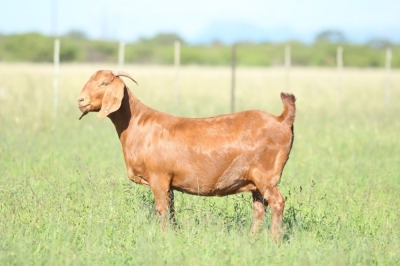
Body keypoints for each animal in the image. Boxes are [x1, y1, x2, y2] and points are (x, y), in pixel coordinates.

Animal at [78, 70, 296, 239]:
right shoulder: (169, 183)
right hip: (255, 181)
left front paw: (165, 238)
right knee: (259, 208)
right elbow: (172, 210)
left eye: (104, 83)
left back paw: (274, 240)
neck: (137, 123)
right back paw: (252, 239)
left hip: (266, 175)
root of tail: (282, 119)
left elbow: (162, 210)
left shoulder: (158, 177)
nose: (80, 100)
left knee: (277, 202)